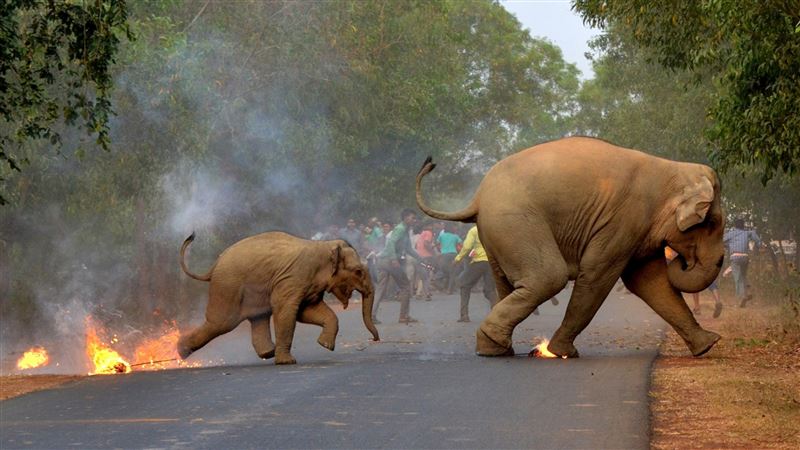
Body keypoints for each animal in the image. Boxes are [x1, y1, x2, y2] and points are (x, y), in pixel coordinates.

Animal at [178, 231, 380, 365]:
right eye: (358, 271)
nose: (375, 340)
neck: (324, 246)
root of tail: (214, 265)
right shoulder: (293, 279)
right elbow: (286, 311)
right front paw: (288, 362)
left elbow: (307, 311)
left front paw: (325, 345)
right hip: (228, 286)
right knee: (221, 322)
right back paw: (181, 351)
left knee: (258, 317)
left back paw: (269, 352)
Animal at [416, 136, 724, 358]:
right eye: (712, 223)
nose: (682, 261)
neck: (673, 168)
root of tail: (477, 197)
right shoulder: (622, 221)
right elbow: (598, 275)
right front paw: (561, 352)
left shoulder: (638, 229)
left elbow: (650, 282)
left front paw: (709, 344)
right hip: (515, 221)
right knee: (548, 277)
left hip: (496, 234)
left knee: (508, 284)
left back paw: (497, 348)